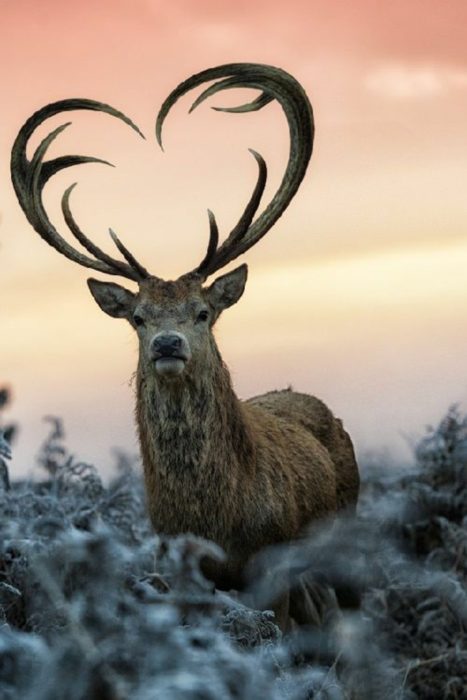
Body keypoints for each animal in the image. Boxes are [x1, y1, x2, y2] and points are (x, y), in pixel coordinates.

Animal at [11, 61, 362, 628]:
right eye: (137, 318)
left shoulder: (273, 563)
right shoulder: (174, 567)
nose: (168, 343)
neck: (216, 520)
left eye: (203, 312)